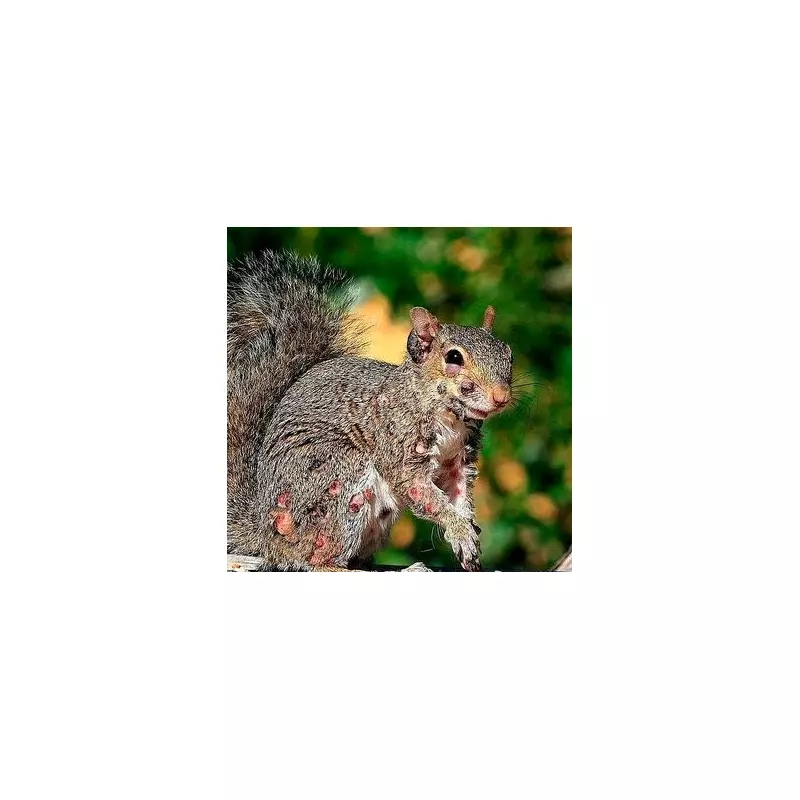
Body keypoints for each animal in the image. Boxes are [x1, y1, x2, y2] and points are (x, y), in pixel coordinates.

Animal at [227, 249, 514, 571]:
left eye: (508, 354)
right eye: (454, 357)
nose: (501, 397)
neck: (450, 417)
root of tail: (266, 535)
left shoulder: (460, 460)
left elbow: (459, 494)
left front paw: (467, 533)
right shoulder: (399, 446)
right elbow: (422, 491)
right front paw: (459, 529)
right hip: (336, 477)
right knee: (308, 559)